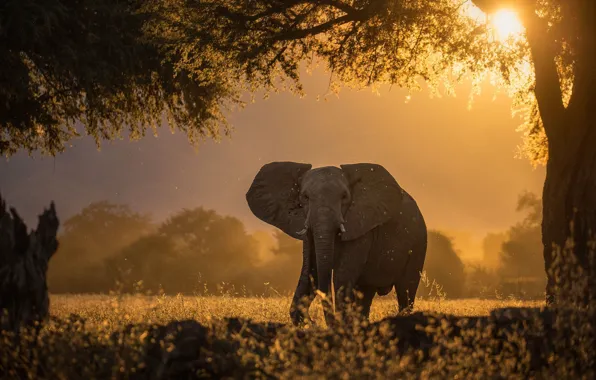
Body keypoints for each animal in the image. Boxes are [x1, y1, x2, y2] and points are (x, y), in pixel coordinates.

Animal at [244, 162, 426, 326]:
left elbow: (342, 275)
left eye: (344, 197)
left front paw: (340, 324)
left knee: (406, 290)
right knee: (366, 292)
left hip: (418, 244)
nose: (313, 322)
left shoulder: (360, 226)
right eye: (305, 197)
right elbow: (311, 271)